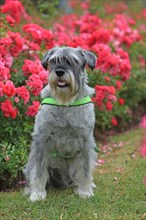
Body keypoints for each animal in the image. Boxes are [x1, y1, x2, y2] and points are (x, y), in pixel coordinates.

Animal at [23, 46, 97, 201]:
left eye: (73, 61)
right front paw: (37, 194)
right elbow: (39, 170)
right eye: (53, 61)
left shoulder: (86, 141)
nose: (59, 72)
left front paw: (85, 191)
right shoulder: (42, 139)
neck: (66, 103)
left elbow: (85, 168)